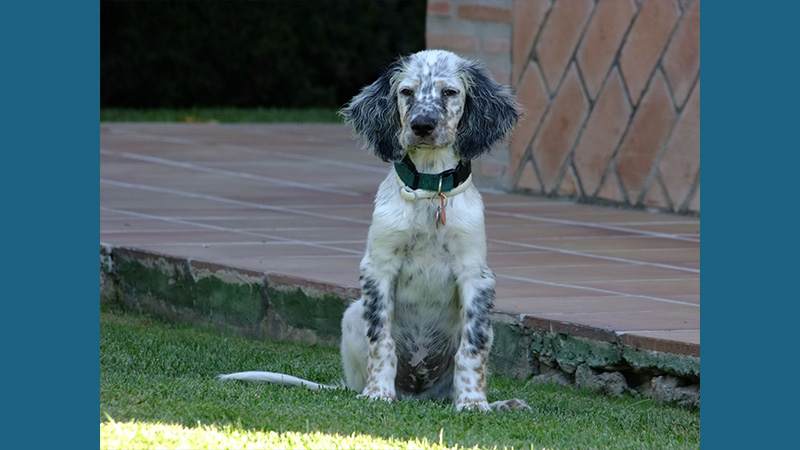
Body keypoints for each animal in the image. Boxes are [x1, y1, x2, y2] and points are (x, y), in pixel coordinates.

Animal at [219, 49, 532, 412]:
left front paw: (473, 403)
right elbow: (381, 341)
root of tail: (418, 397)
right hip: (353, 314)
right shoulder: (379, 266)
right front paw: (378, 394)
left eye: (450, 93)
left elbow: (472, 348)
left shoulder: (475, 273)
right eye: (407, 92)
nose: (421, 125)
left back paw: (501, 404)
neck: (429, 190)